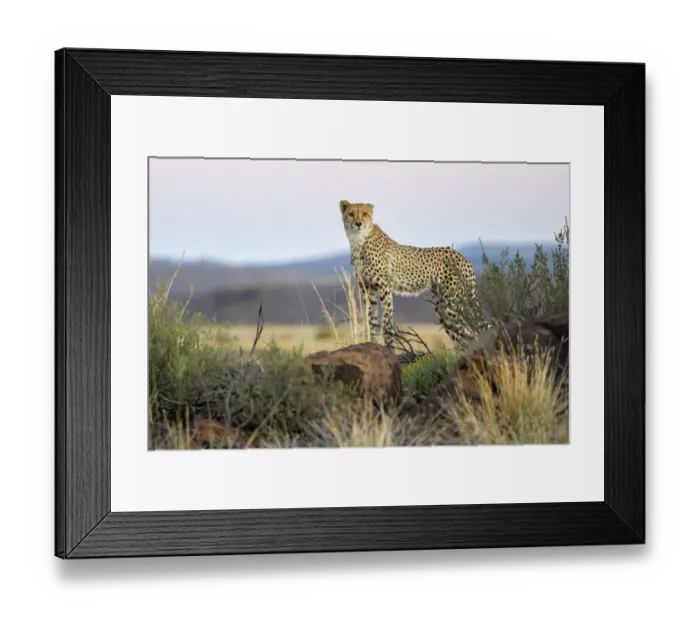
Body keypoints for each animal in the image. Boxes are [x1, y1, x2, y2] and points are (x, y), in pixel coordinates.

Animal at [339, 199, 487, 350]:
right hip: (441, 307)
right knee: (460, 335)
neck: (359, 241)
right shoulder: (368, 288)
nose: (358, 224)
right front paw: (373, 344)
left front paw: (390, 348)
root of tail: (464, 258)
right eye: (351, 214)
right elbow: (371, 320)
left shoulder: (385, 287)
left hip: (452, 301)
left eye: (364, 214)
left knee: (470, 328)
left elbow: (387, 320)